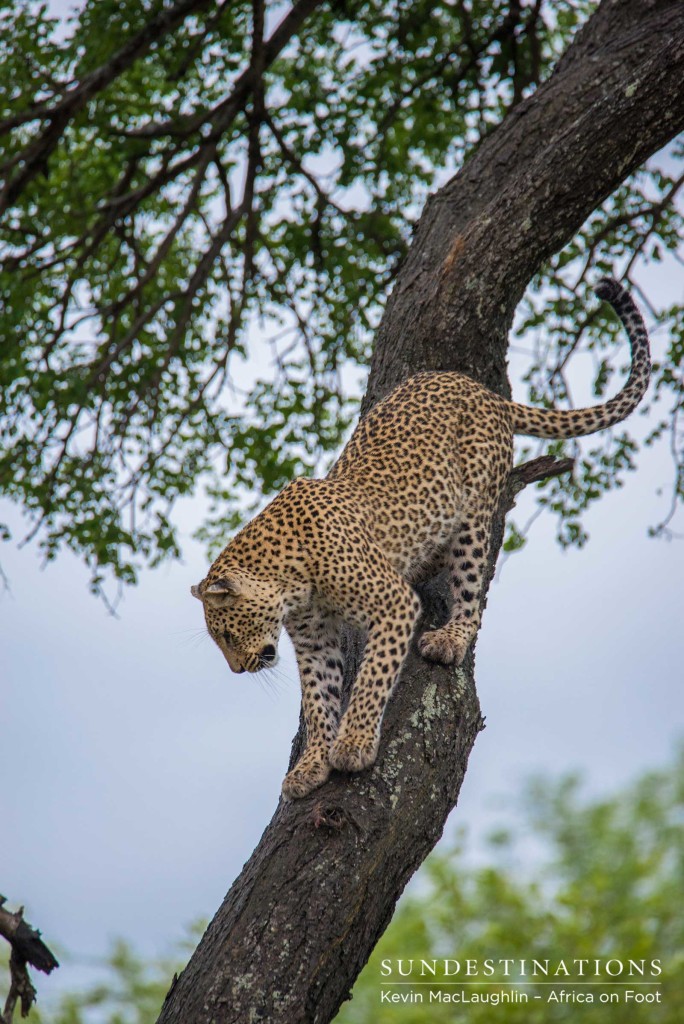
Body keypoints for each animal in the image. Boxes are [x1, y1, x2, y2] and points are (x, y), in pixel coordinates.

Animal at [192, 280, 651, 798]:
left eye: (227, 635)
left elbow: (372, 676)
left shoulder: (391, 604)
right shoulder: (314, 641)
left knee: (470, 584)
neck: (290, 581)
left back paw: (450, 636)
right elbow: (318, 699)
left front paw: (353, 744)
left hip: (473, 510)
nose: (238, 669)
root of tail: (481, 389)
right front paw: (311, 764)